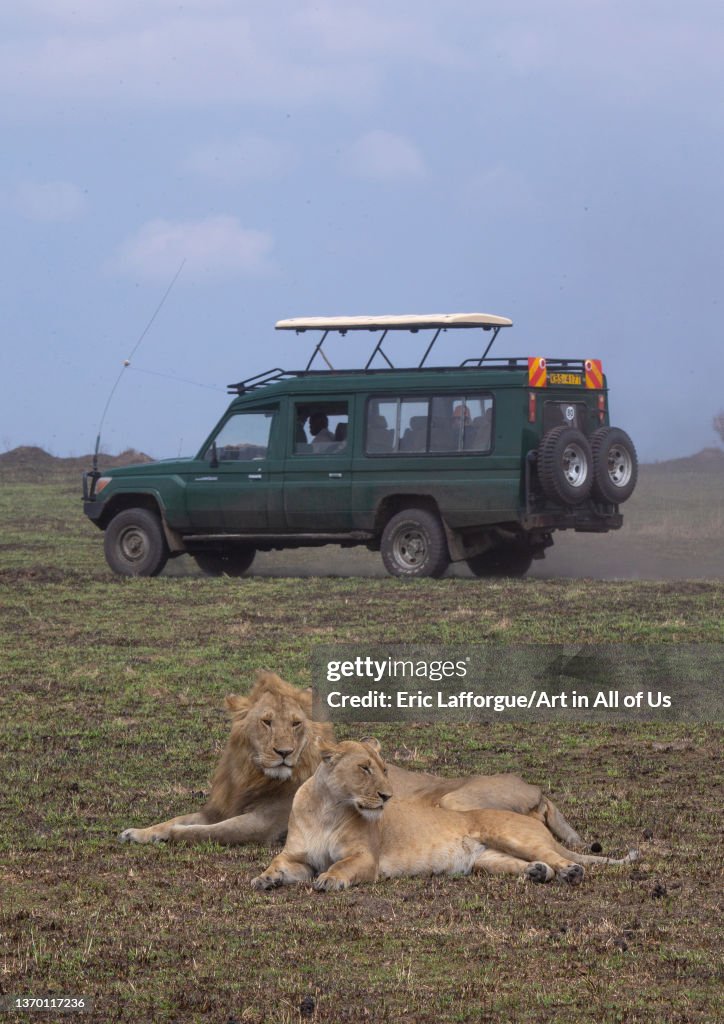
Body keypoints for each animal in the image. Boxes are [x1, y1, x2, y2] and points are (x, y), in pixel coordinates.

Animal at [119, 672, 580, 848]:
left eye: (297, 724)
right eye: (266, 722)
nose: (284, 752)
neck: (252, 774)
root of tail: (538, 790)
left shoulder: (262, 825)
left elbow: (200, 832)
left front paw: (164, 836)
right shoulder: (220, 806)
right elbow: (178, 819)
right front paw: (138, 832)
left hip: (456, 800)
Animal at [251, 739, 637, 893]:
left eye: (384, 770)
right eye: (364, 768)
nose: (387, 796)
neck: (327, 809)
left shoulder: (365, 858)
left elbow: (341, 866)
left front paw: (330, 879)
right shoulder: (296, 857)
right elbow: (277, 863)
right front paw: (265, 879)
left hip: (509, 833)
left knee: (558, 858)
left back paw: (571, 872)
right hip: (487, 860)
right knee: (534, 865)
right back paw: (538, 873)